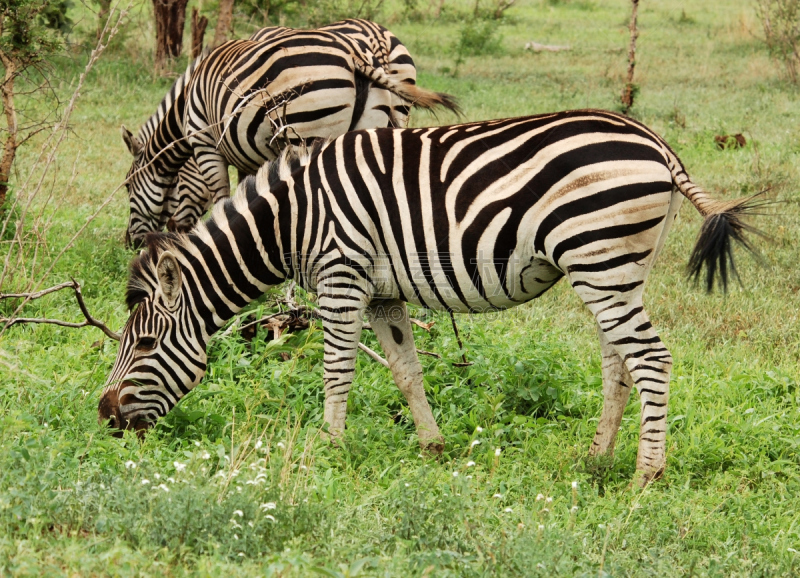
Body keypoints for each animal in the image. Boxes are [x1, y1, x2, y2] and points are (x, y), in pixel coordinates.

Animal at [97, 109, 764, 482]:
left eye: (146, 344)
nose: (105, 417)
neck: (290, 220)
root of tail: (655, 141)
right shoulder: (383, 294)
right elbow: (404, 369)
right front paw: (433, 446)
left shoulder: (342, 274)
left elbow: (337, 370)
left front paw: (328, 450)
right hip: (614, 267)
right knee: (618, 360)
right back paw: (597, 459)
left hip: (599, 256)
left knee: (650, 359)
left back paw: (645, 475)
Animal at [119, 24, 456, 244]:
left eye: (127, 187)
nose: (131, 242)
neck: (186, 103)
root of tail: (356, 53)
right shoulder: (249, 154)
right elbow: (247, 193)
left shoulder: (206, 143)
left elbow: (222, 197)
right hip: (375, 122)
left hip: (305, 132)